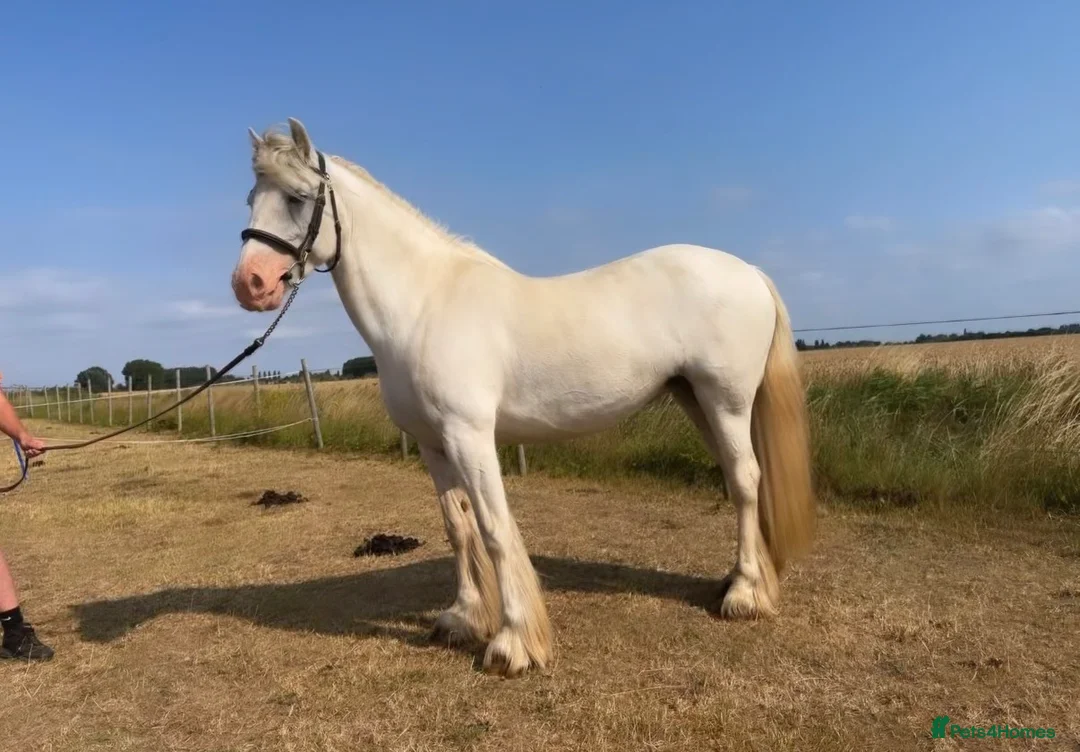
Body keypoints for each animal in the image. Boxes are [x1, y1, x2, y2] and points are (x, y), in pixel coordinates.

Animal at [230, 118, 815, 678]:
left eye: (298, 197)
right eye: (251, 197)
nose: (249, 284)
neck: (424, 305)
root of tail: (749, 272)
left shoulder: (469, 437)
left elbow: (493, 529)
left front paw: (512, 645)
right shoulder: (433, 446)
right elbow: (458, 528)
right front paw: (463, 619)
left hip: (727, 401)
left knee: (745, 481)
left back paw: (744, 594)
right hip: (697, 401)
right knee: (740, 479)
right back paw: (741, 579)